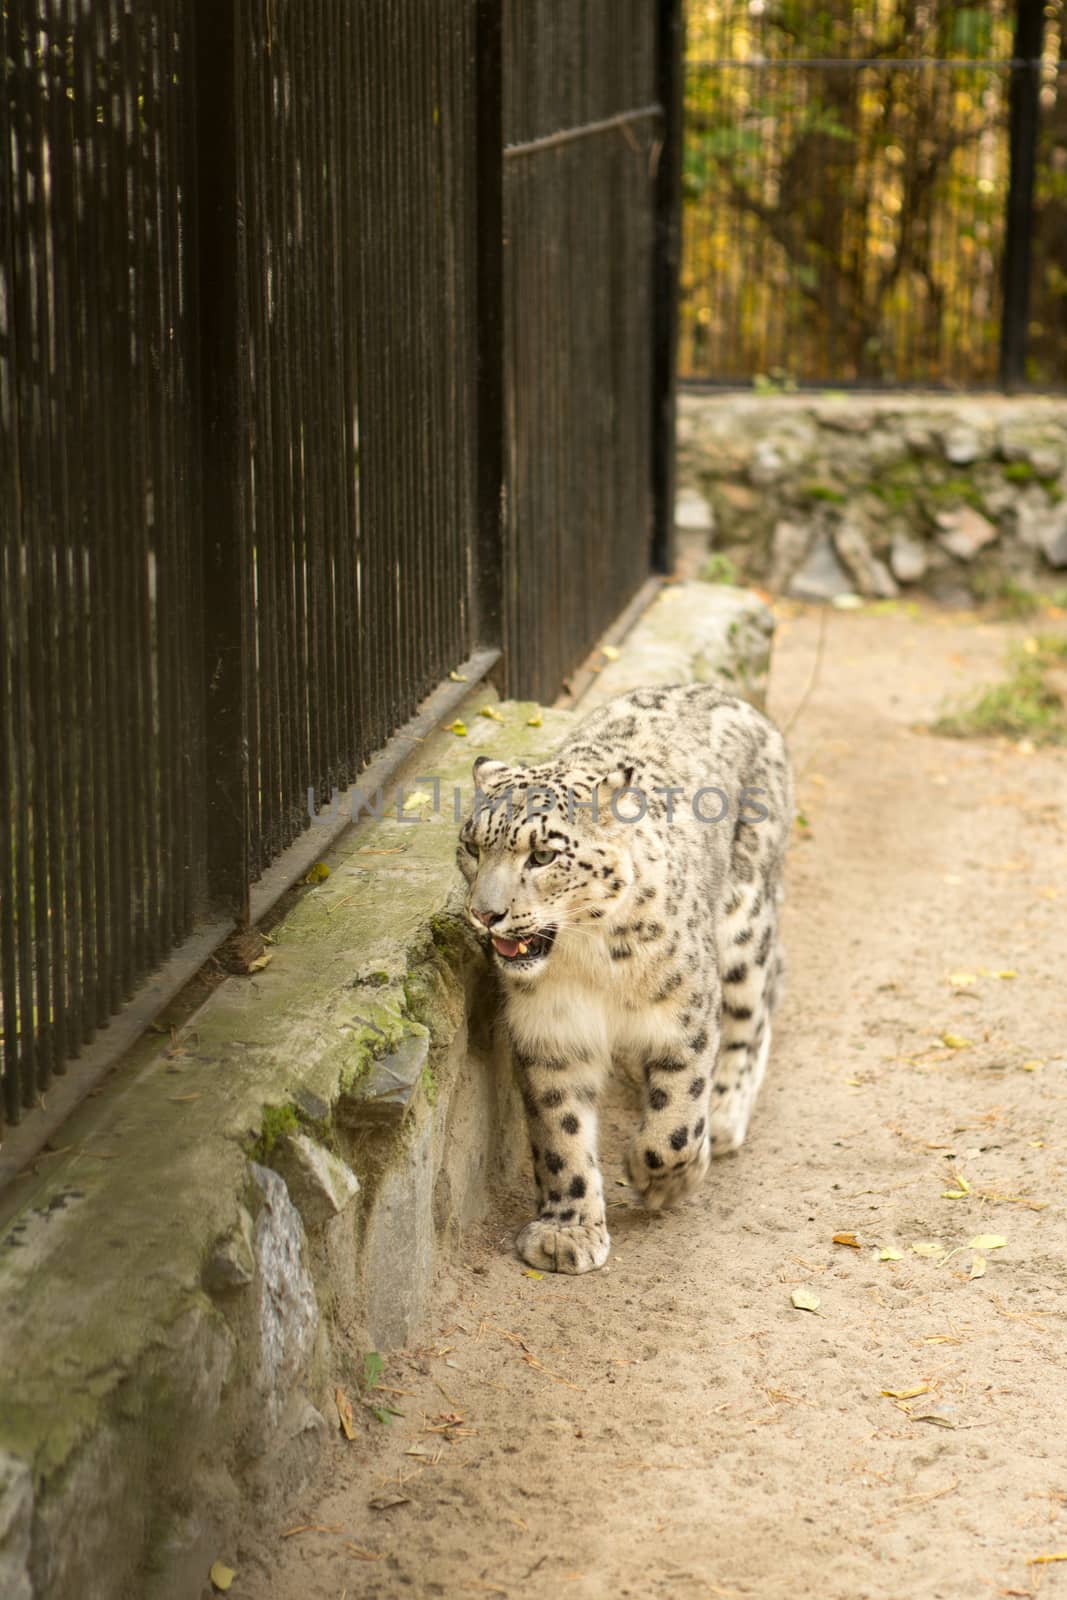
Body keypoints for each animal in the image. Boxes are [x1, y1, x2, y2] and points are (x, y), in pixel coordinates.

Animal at [457, 684, 793, 1273]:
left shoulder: (684, 1015)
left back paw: (725, 1113)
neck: (588, 964)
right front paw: (567, 1232)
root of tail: (730, 696)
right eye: (473, 847)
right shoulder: (551, 1033)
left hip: (744, 927)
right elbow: (560, 1133)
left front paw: (660, 1180)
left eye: (542, 854)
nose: (485, 914)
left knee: (753, 1014)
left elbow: (677, 1121)